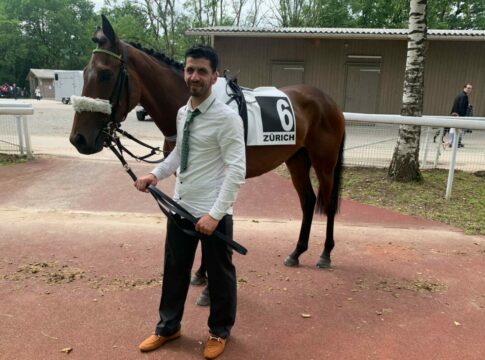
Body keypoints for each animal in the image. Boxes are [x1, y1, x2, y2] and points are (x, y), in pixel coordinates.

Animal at [70, 16, 346, 270]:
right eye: (83, 72)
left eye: (106, 74)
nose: (78, 138)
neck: (197, 105)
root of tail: (329, 101)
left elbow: (209, 220)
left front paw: (203, 273)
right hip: (296, 158)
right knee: (308, 201)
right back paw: (297, 252)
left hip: (324, 161)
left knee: (329, 202)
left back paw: (325, 254)